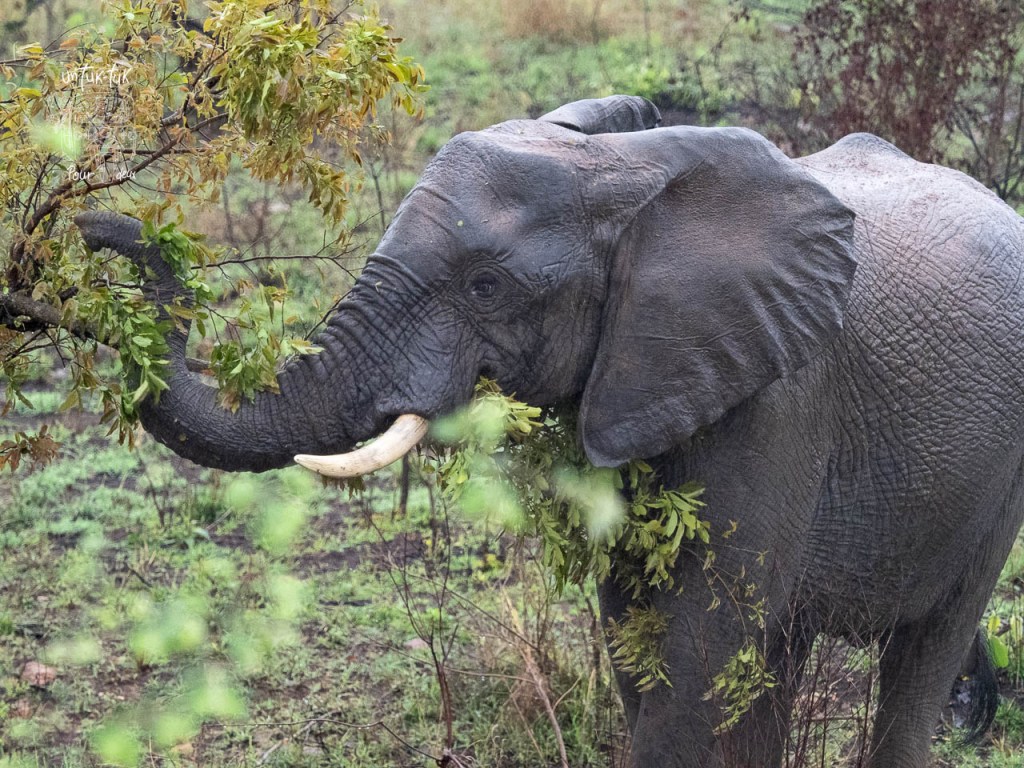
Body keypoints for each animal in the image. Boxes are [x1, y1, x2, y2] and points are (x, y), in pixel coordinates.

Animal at [74, 95, 1024, 768]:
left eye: (487, 287)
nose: (96, 227)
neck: (624, 172)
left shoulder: (782, 400)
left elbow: (699, 647)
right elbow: (638, 632)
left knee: (923, 652)